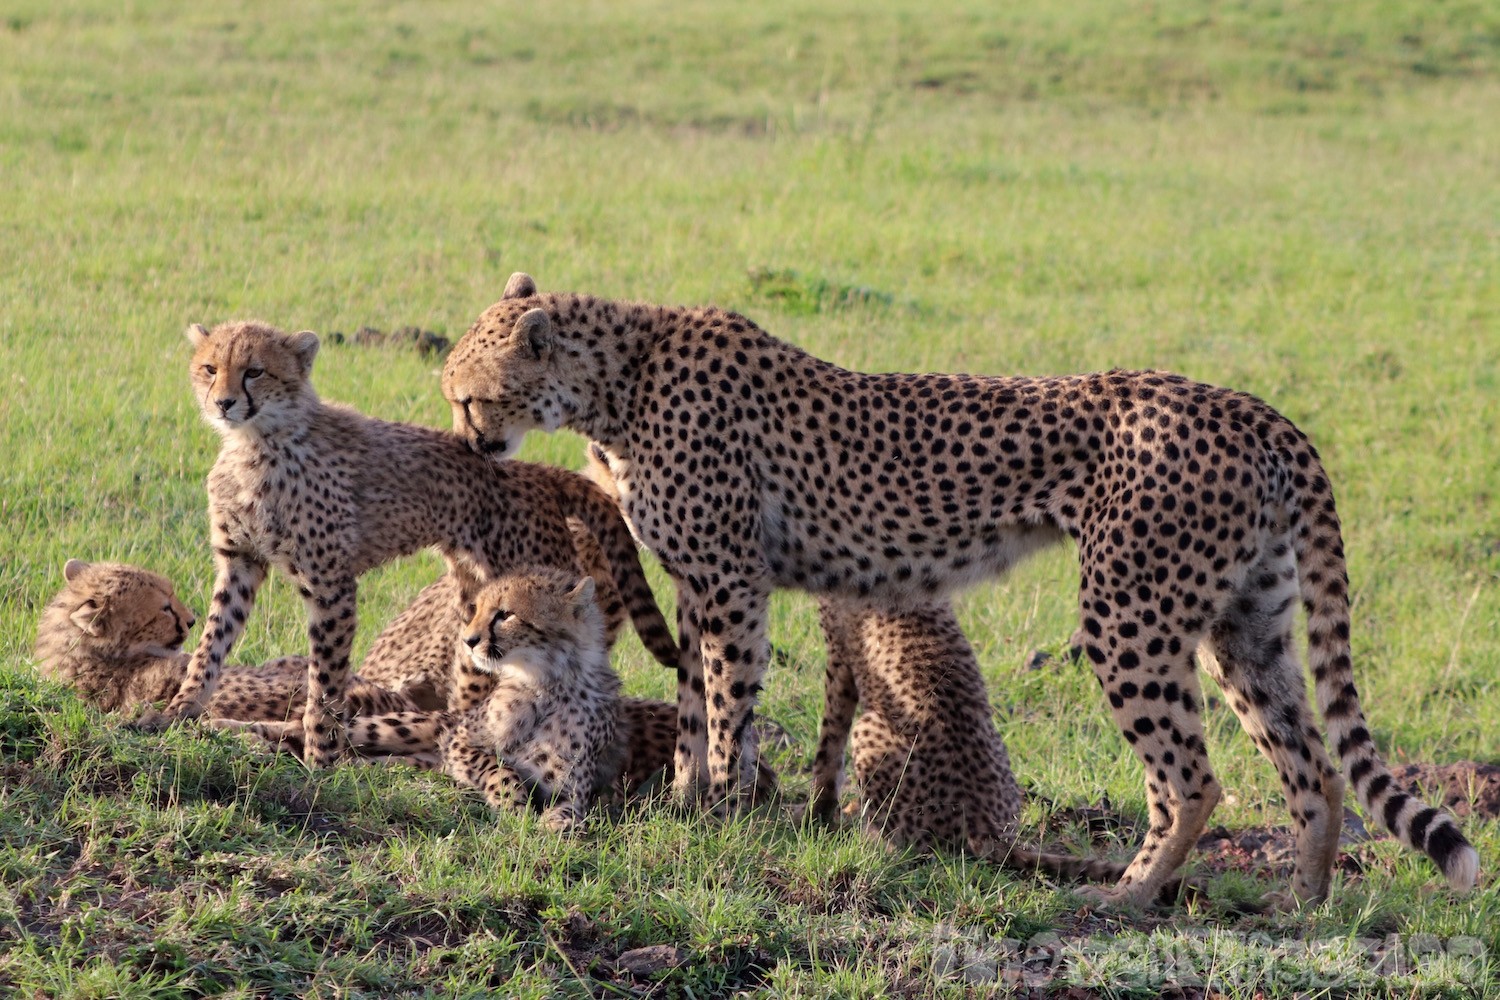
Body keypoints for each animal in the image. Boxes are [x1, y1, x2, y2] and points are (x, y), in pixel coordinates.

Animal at [136, 318, 679, 770]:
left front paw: (319, 758)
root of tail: (534, 469)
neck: (255, 442)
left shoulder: (331, 583)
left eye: (254, 372)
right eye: (210, 368)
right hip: (473, 609)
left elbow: (325, 680)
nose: (223, 402)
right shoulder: (241, 563)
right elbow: (211, 644)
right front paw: (175, 713)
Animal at [439, 272, 1478, 909]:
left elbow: (731, 709)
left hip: (1129, 612)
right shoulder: (701, 586)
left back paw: (1128, 894)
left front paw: (722, 816)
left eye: (469, 393)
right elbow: (699, 706)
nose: (465, 442)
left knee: (1193, 775)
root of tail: (1255, 408)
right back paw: (1303, 903)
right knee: (1311, 766)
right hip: (1244, 622)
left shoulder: (732, 580)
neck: (621, 380)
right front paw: (688, 804)